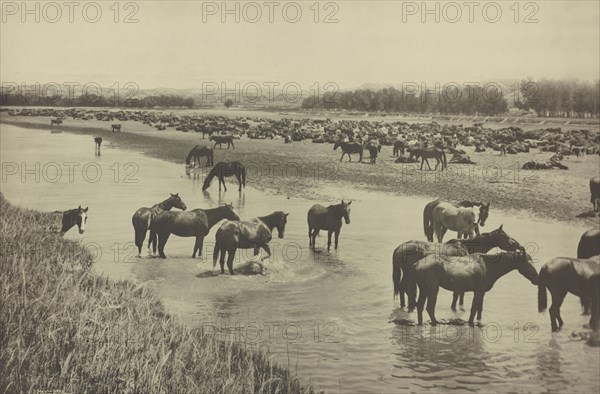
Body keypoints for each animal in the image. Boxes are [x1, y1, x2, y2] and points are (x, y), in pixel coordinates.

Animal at [412, 249, 540, 326]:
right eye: (527, 263)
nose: (537, 279)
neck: (491, 268)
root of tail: (416, 264)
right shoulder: (478, 291)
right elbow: (474, 309)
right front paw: (471, 323)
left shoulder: (482, 291)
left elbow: (479, 309)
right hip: (433, 288)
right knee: (429, 307)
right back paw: (435, 322)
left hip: (423, 288)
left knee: (420, 306)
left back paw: (420, 323)